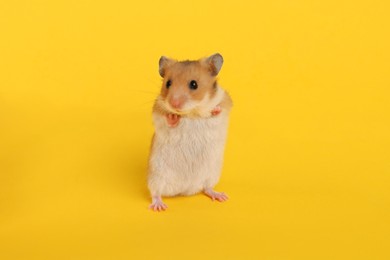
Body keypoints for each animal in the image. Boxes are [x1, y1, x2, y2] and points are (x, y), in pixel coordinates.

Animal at [146, 53, 232, 211]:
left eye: (194, 84)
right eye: (168, 83)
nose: (174, 104)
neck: (191, 112)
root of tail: (185, 190)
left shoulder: (225, 104)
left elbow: (217, 111)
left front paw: (214, 109)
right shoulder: (157, 111)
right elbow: (164, 118)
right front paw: (173, 117)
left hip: (212, 174)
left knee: (207, 188)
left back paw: (220, 196)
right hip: (156, 175)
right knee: (156, 193)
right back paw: (159, 206)